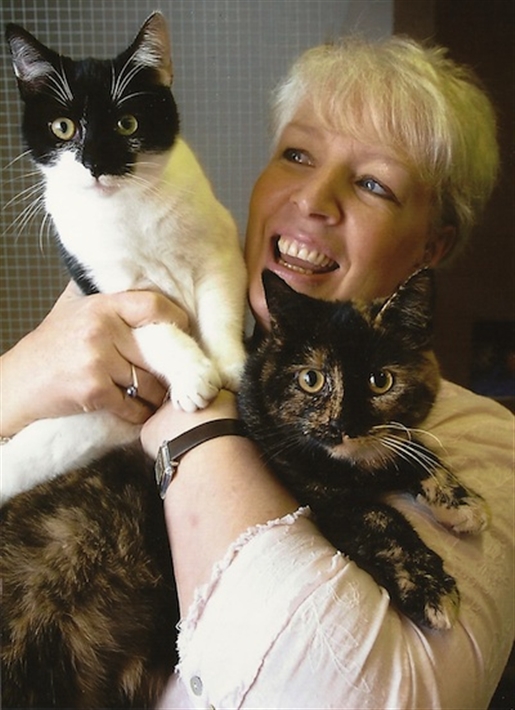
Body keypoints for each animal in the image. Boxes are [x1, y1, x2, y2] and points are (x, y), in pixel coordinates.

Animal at [2, 11, 248, 500]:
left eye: (127, 124)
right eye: (63, 127)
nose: (95, 164)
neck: (129, 208)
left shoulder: (220, 253)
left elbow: (220, 308)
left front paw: (229, 365)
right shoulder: (106, 288)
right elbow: (153, 328)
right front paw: (192, 376)